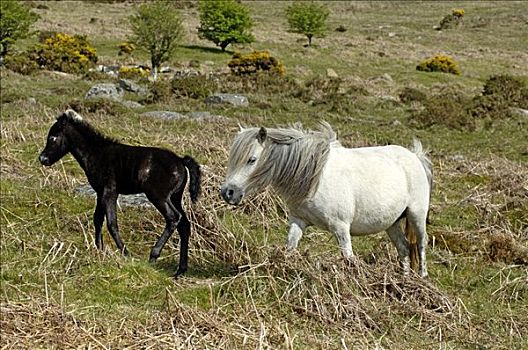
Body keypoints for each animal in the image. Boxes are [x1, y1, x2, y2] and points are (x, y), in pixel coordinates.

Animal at [38, 109, 200, 276]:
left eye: (53, 137)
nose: (42, 158)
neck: (96, 153)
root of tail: (181, 161)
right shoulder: (100, 192)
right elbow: (98, 219)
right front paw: (99, 250)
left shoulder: (110, 192)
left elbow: (111, 223)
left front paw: (125, 253)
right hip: (175, 197)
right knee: (184, 225)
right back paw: (180, 270)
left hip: (158, 196)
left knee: (173, 217)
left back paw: (154, 256)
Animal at [221, 121, 432, 278]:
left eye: (252, 159)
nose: (227, 192)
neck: (313, 178)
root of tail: (415, 156)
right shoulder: (298, 221)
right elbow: (290, 248)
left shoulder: (341, 228)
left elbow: (348, 257)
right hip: (391, 223)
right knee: (404, 248)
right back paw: (404, 280)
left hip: (416, 215)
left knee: (422, 243)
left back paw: (422, 277)